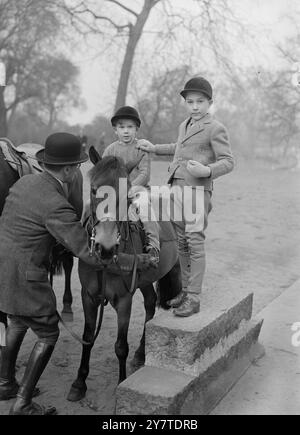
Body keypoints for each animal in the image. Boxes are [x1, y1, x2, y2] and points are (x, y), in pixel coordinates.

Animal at [67, 149, 180, 402]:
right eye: (93, 190)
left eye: (125, 196)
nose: (106, 247)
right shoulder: (88, 296)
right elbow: (87, 337)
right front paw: (79, 383)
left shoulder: (124, 300)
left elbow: (120, 346)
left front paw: (121, 382)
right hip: (144, 281)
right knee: (150, 304)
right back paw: (141, 353)